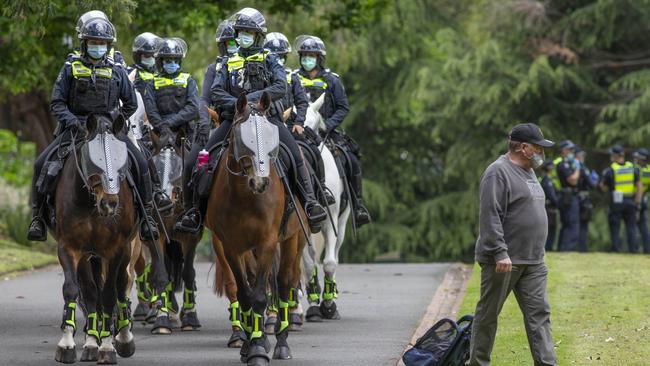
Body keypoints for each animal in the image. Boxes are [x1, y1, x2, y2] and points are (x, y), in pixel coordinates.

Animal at [51, 113, 139, 364]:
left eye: (122, 162)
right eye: (92, 161)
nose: (110, 203)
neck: (91, 205)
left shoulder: (115, 250)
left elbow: (109, 294)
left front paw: (108, 347)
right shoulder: (71, 248)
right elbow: (76, 290)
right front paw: (68, 344)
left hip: (126, 250)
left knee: (121, 285)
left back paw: (124, 338)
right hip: (91, 256)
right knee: (91, 291)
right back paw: (91, 341)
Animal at [205, 93, 306, 364]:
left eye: (272, 137)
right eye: (242, 139)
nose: (260, 182)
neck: (245, 197)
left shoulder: (267, 242)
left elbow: (260, 293)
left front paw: (260, 348)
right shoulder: (229, 245)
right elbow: (243, 292)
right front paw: (248, 343)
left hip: (293, 238)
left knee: (284, 282)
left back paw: (282, 342)